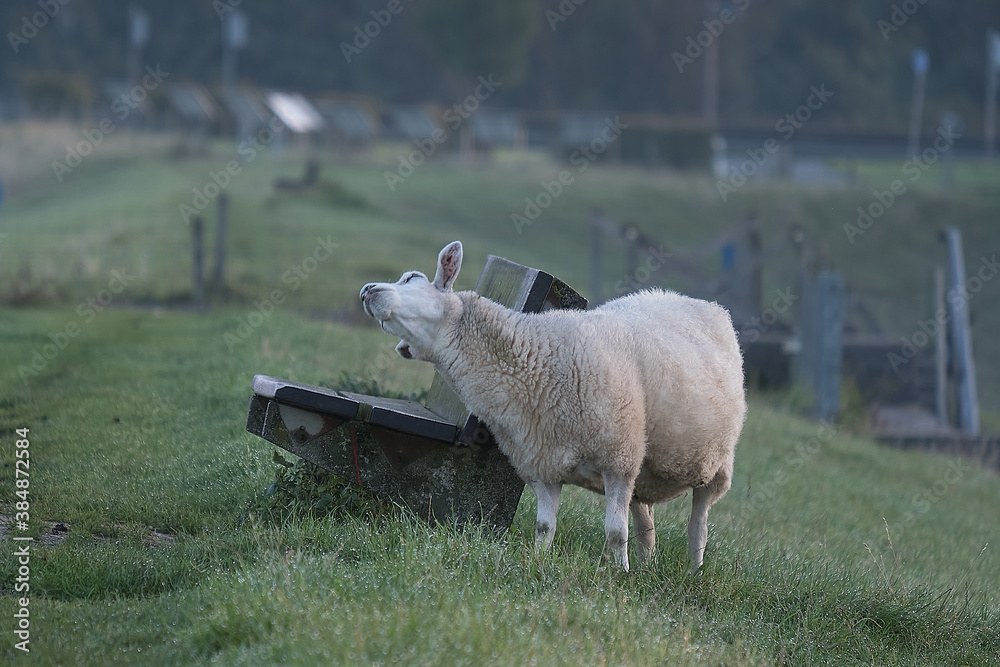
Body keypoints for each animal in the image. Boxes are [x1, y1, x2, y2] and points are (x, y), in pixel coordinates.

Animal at [360, 241, 746, 572]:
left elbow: (615, 532)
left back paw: (693, 571)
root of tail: (696, 301)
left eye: (412, 279)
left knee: (698, 523)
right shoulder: (543, 465)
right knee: (646, 522)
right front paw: (539, 564)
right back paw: (647, 567)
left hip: (714, 463)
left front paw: (619, 577)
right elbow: (545, 526)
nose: (367, 290)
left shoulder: (617, 459)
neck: (537, 358)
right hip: (643, 459)